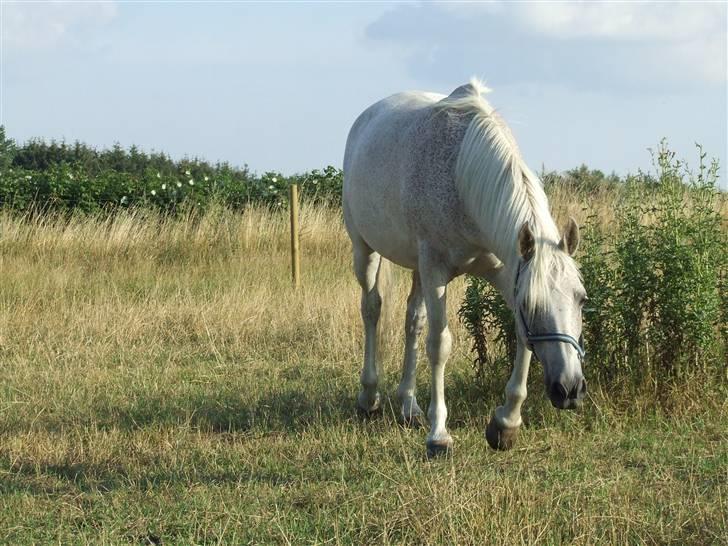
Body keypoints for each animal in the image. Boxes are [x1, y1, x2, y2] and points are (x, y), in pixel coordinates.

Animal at [342, 78, 584, 452]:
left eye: (582, 299)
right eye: (533, 305)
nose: (569, 389)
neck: (462, 177)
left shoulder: (505, 271)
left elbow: (521, 337)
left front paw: (506, 422)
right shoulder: (436, 270)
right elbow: (440, 345)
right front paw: (439, 434)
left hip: (417, 269)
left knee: (413, 321)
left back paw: (408, 404)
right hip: (365, 250)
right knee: (371, 309)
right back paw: (370, 397)